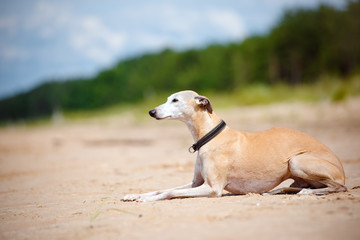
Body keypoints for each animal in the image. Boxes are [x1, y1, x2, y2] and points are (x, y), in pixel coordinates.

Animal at [122, 89, 348, 201]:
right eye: (168, 99)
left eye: (175, 100)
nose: (151, 111)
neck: (210, 136)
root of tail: (342, 170)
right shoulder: (196, 183)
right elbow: (161, 189)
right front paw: (135, 195)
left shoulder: (213, 188)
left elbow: (169, 192)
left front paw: (145, 200)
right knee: (295, 186)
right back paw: (275, 192)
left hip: (296, 161)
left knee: (338, 187)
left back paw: (307, 193)